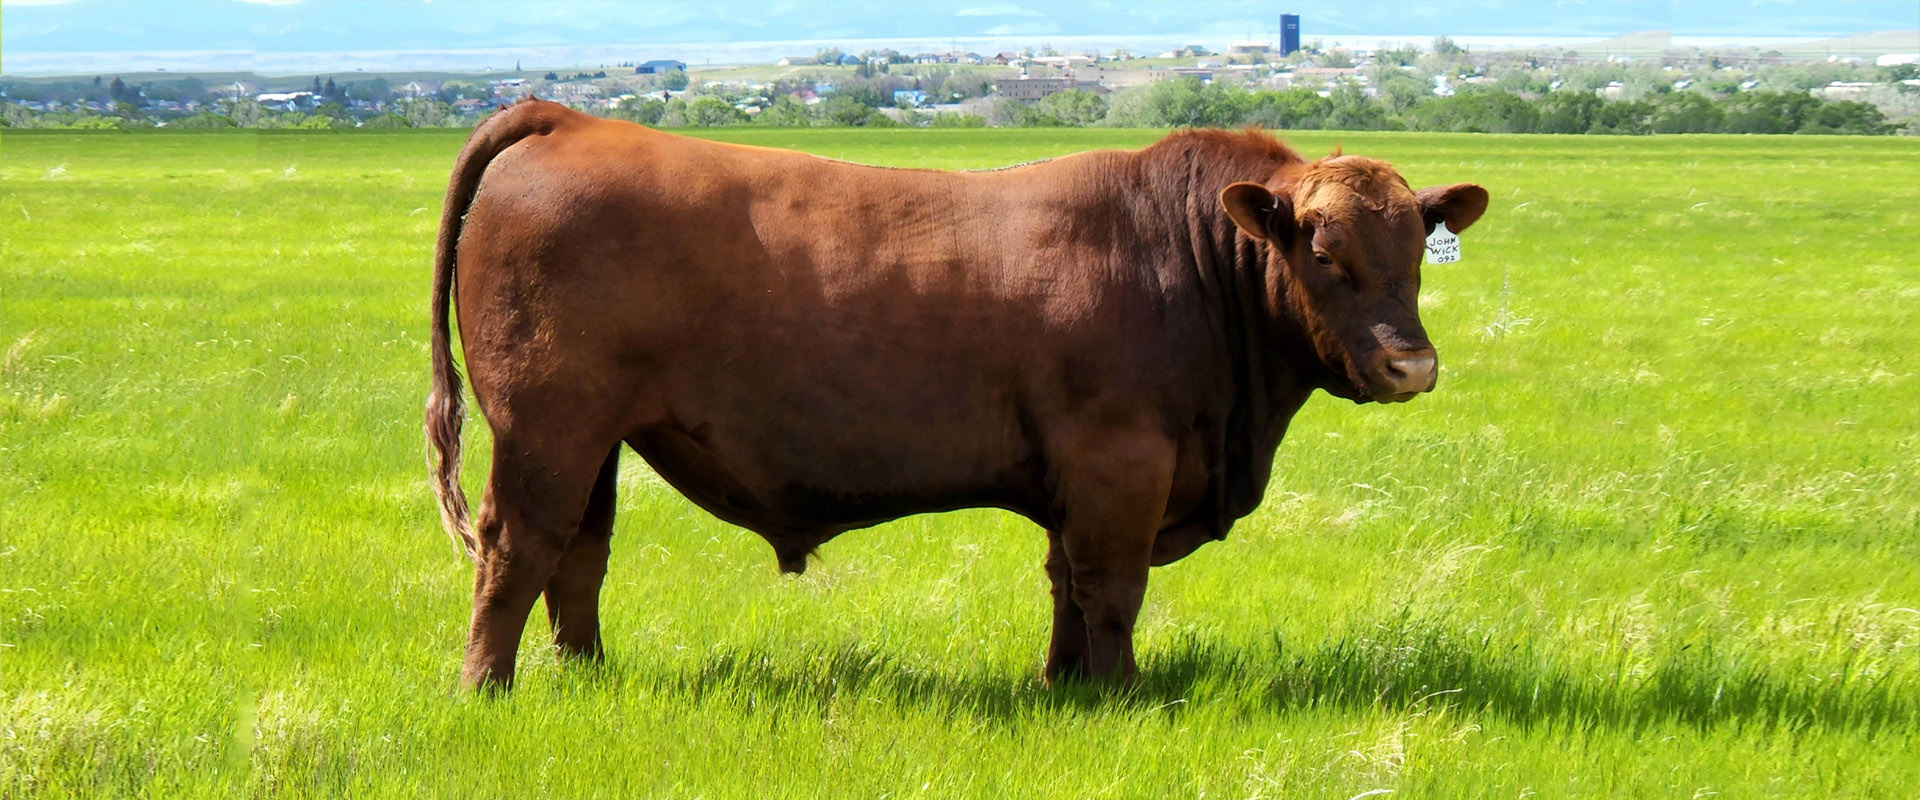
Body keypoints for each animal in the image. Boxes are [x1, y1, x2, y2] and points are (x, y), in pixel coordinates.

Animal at [426, 99, 1487, 691]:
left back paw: (585, 676)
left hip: (596, 435)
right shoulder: (1121, 461)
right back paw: (486, 688)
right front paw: (1124, 694)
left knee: (580, 552)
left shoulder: (1079, 475)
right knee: (518, 546)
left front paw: (1064, 686)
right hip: (547, 426)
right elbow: (1112, 588)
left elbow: (1066, 582)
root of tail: (567, 118)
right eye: (1325, 253)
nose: (1413, 367)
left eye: (1416, 254)